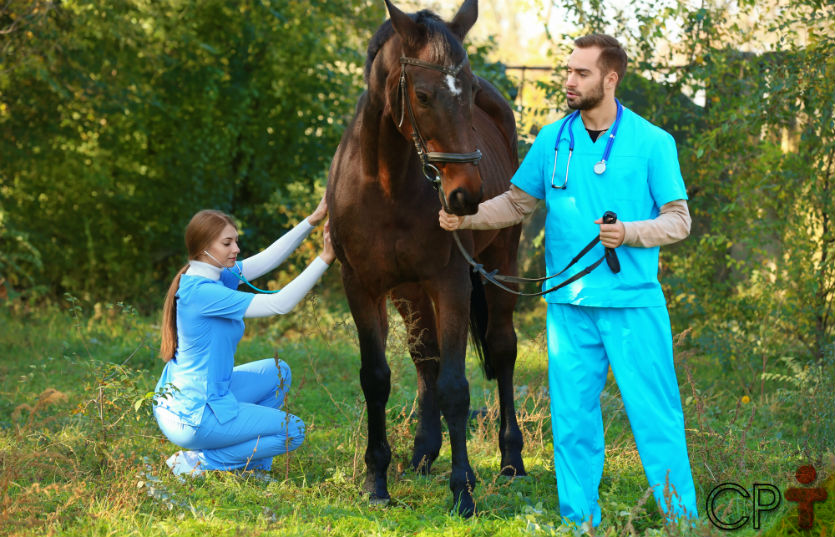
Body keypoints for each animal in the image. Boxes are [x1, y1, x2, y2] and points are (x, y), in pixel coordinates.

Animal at [330, 0, 524, 516]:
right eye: (421, 94)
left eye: (470, 92)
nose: (465, 196)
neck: (387, 184)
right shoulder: (363, 287)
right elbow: (376, 378)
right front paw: (377, 482)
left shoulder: (450, 283)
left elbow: (456, 387)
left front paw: (462, 492)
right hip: (409, 292)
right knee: (426, 357)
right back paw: (422, 453)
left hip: (501, 266)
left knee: (502, 349)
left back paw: (510, 460)